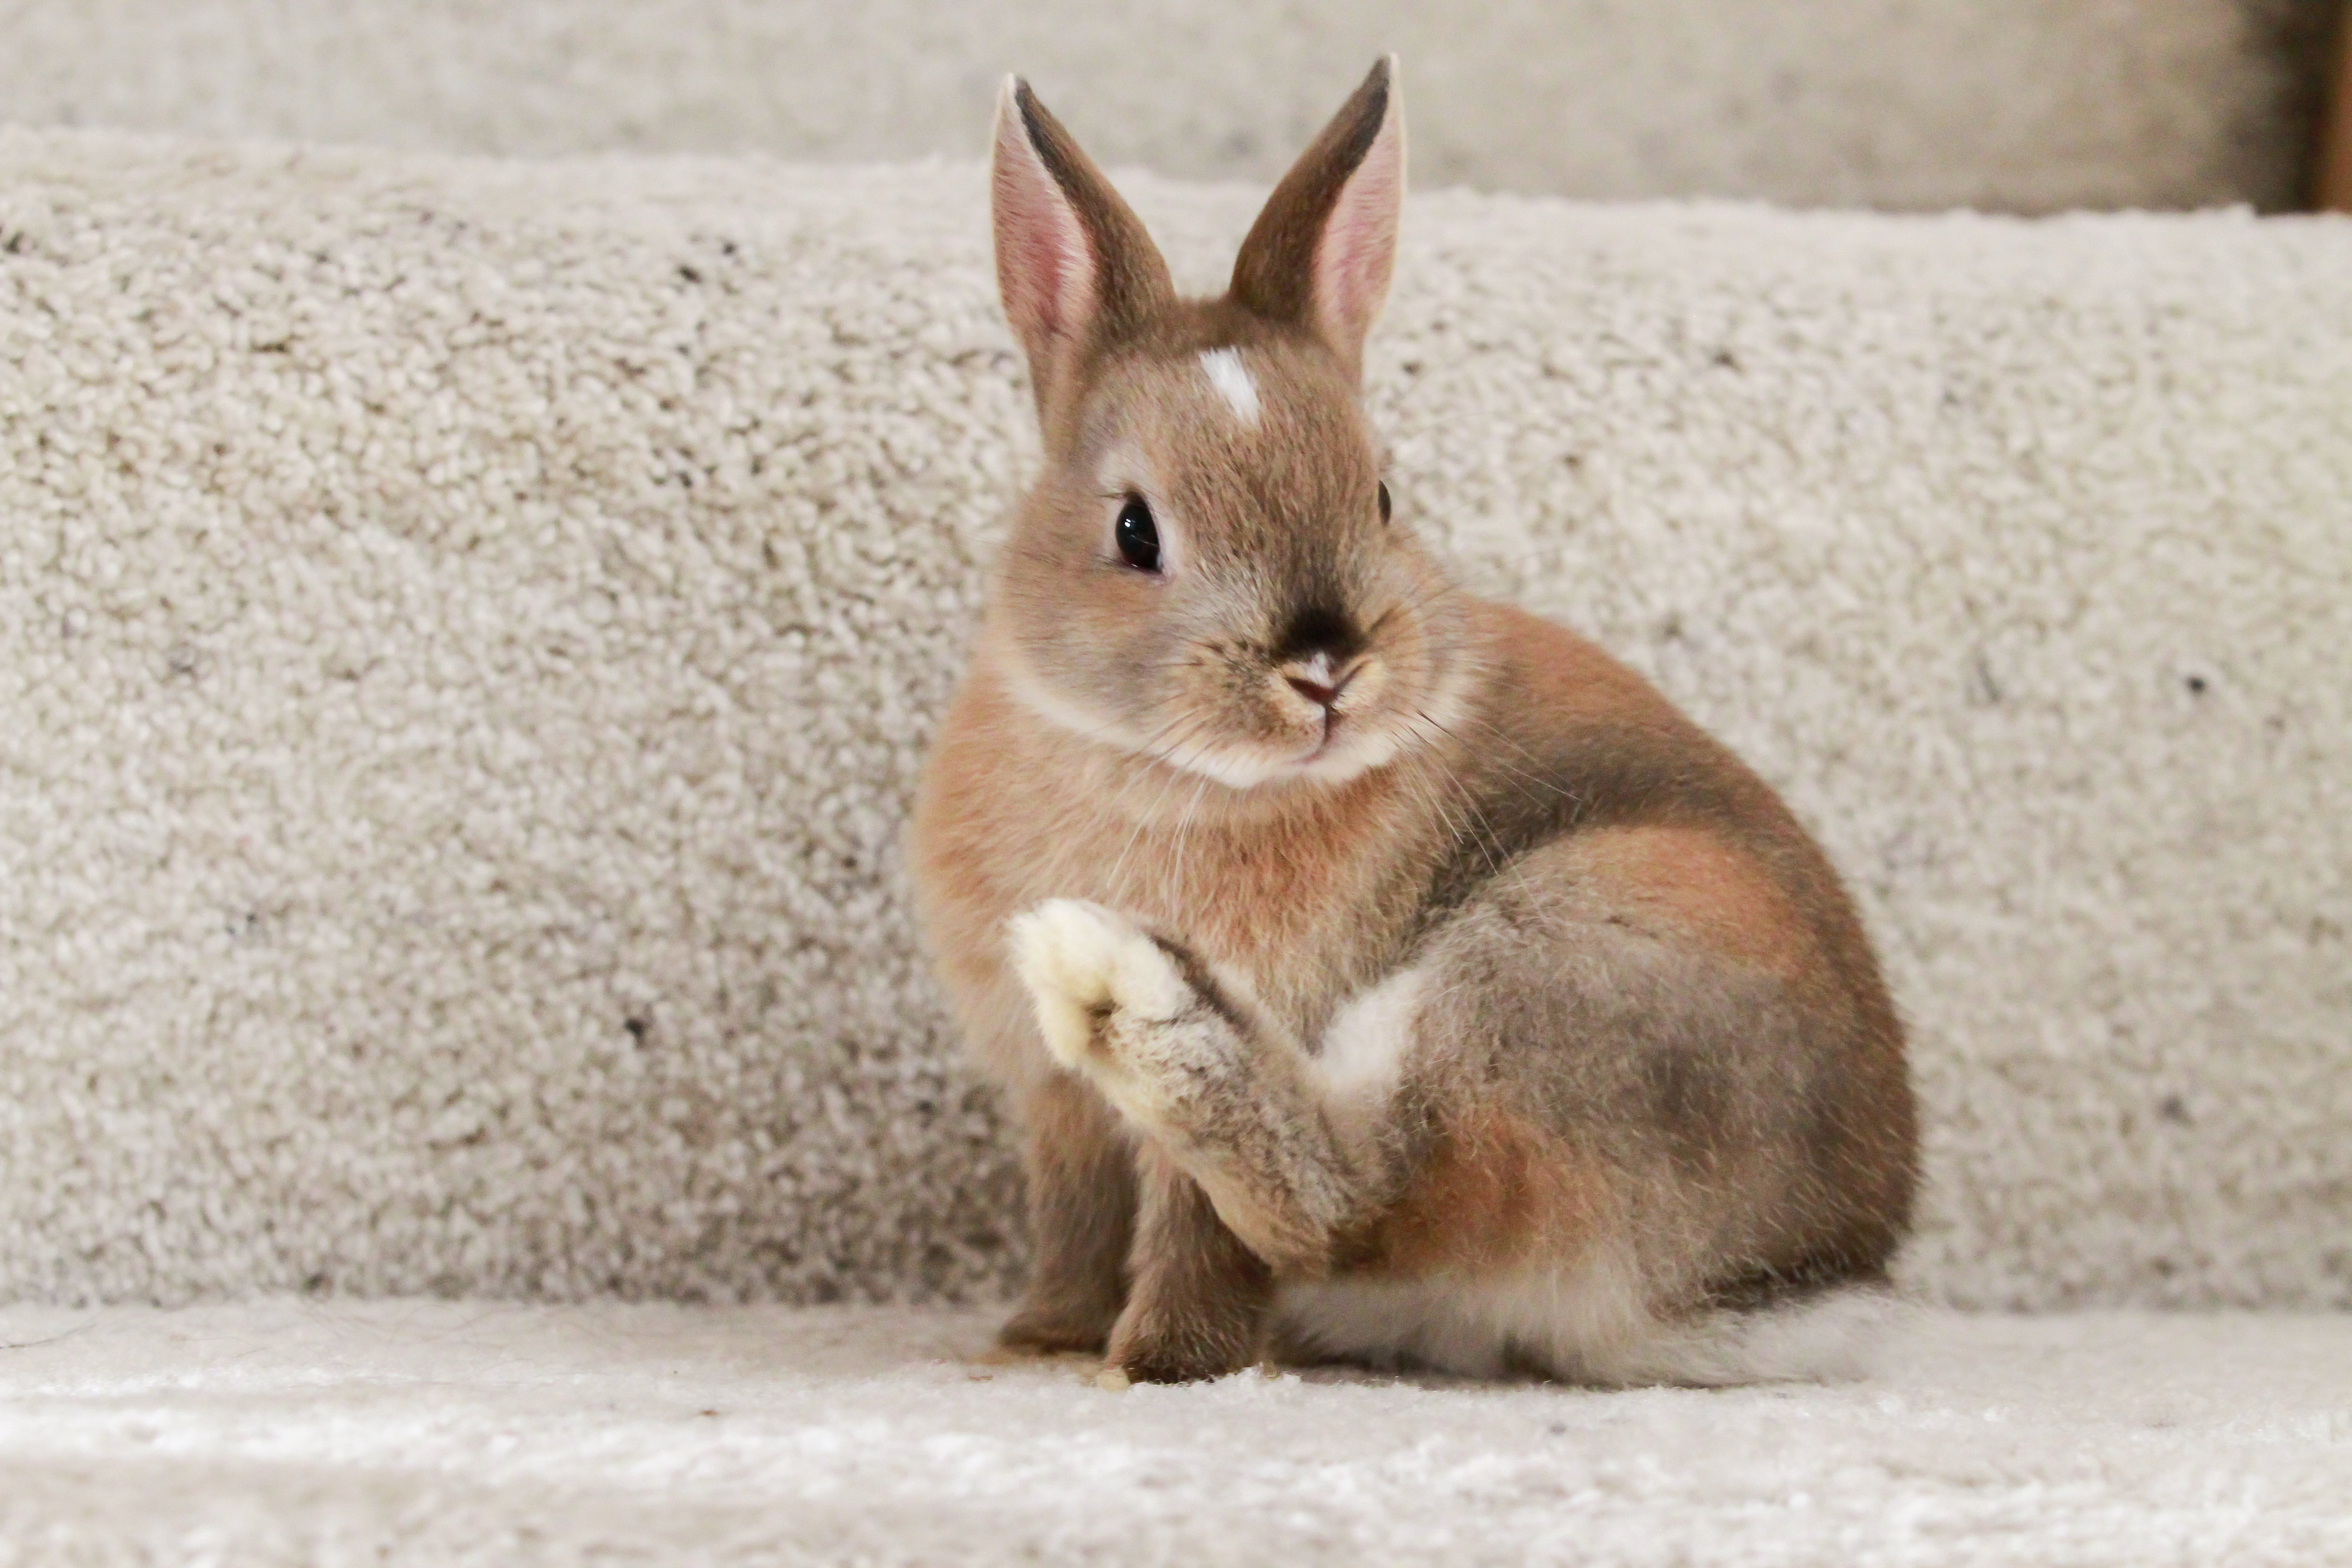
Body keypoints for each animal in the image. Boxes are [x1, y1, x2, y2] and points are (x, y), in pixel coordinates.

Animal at [910, 57, 1918, 1386]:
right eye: (1135, 531)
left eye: (1381, 496)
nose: (1326, 671)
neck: (1149, 765)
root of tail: (1774, 1279)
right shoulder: (1056, 1118)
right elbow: (1077, 1221)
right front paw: (1043, 1338)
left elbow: (1199, 1238)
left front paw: (1160, 1362)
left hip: (1559, 958)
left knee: (1357, 1200)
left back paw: (1114, 980)